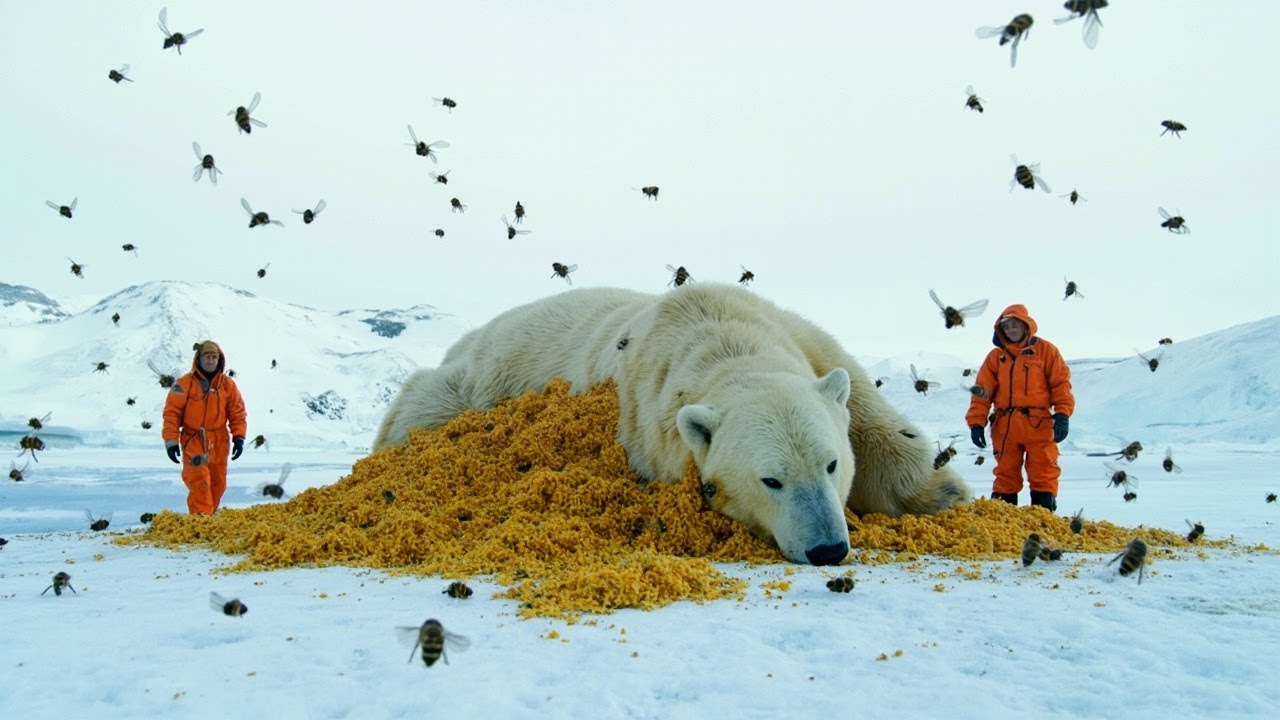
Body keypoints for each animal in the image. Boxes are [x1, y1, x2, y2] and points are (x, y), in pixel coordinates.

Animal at [374, 284, 971, 565]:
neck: (719, 329)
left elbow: (875, 423)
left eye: (831, 464)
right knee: (422, 403)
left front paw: (945, 495)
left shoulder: (812, 342)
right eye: (771, 480)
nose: (827, 549)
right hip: (478, 381)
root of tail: (468, 337)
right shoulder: (646, 427)